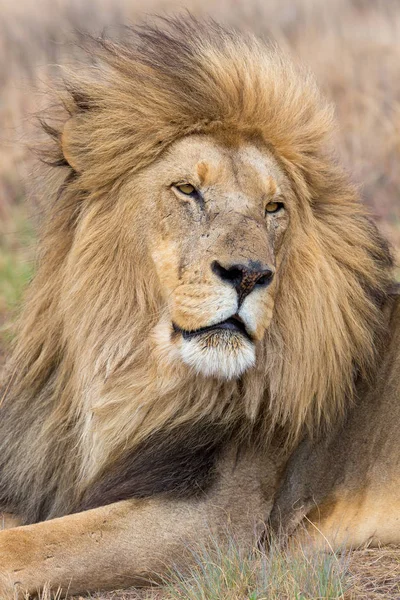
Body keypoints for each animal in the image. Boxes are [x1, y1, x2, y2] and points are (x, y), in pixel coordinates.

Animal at [0, 16, 400, 596]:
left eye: (273, 207)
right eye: (187, 189)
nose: (250, 274)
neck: (130, 379)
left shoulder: (213, 521)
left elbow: (25, 547)